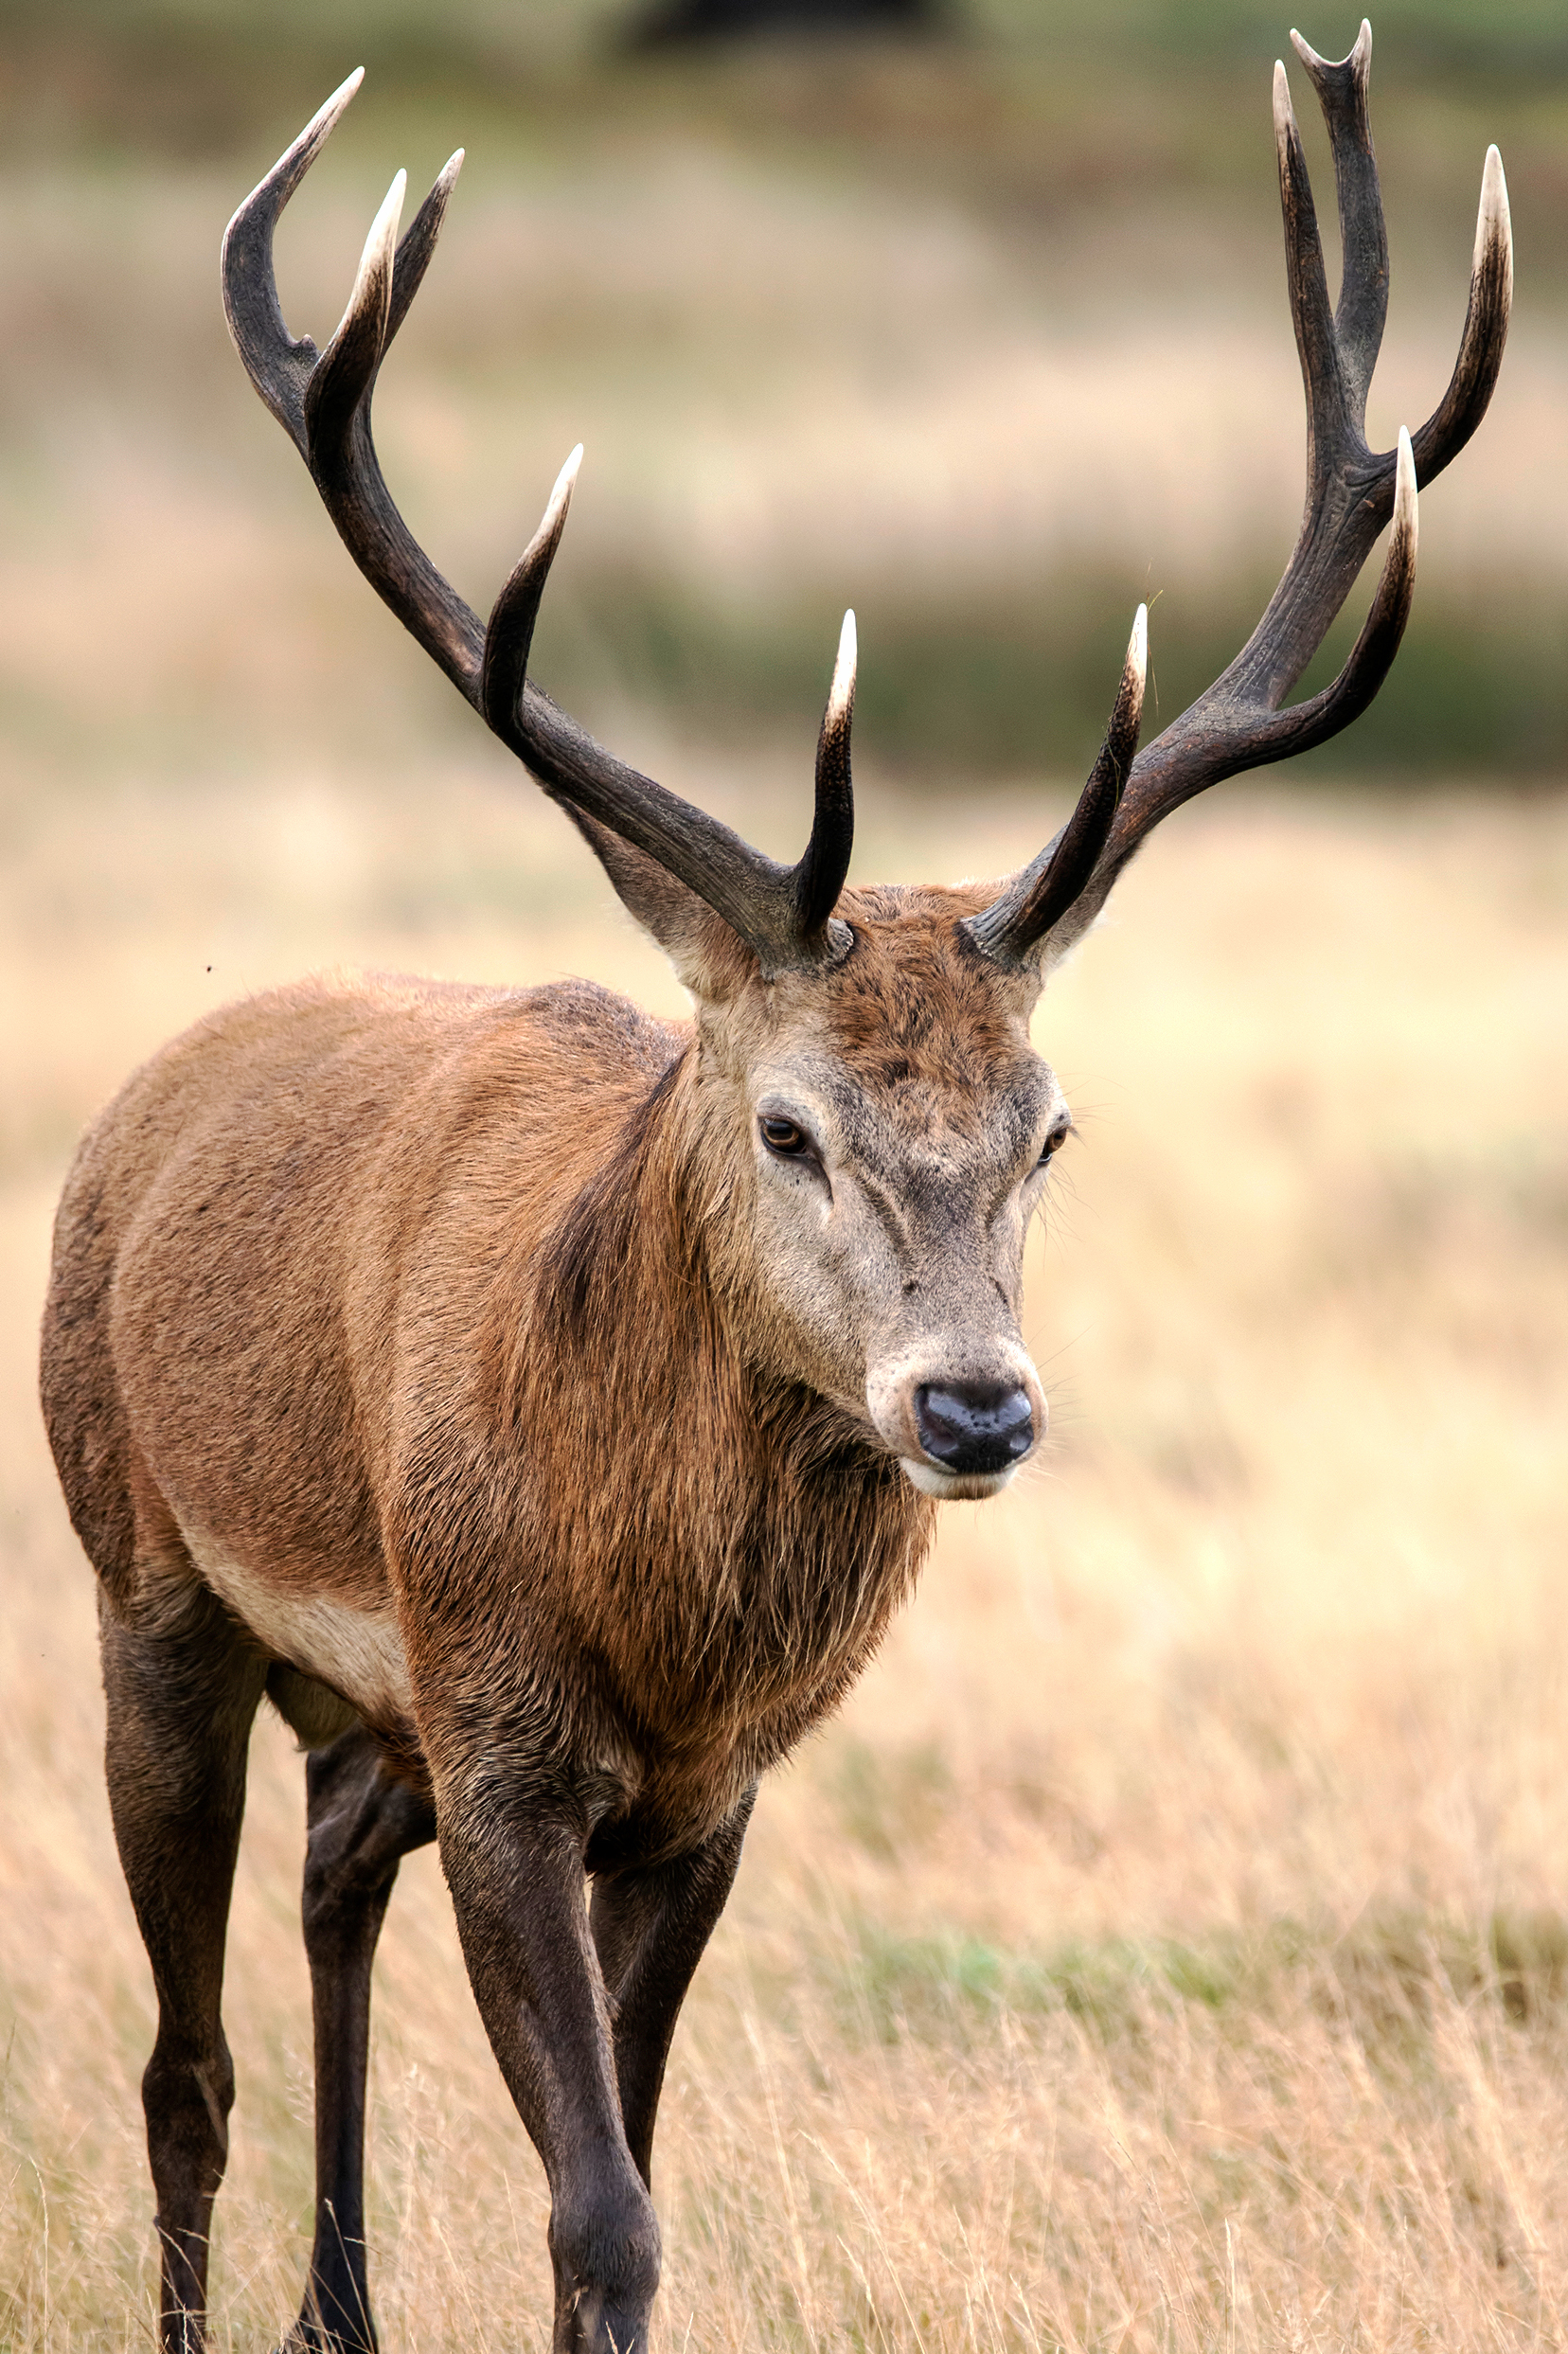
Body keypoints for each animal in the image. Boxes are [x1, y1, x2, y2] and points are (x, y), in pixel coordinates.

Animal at [39, 22, 1509, 2354]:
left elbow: (632, 2175)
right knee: (185, 2065)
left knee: (330, 1874)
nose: (973, 1405)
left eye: (1051, 1125)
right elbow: (602, 2210)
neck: (651, 1623)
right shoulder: (502, 1734)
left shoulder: (708, 1799)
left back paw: (337, 2305)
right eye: (787, 1125)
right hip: (144, 1578)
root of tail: (151, 1093)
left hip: (367, 1708)